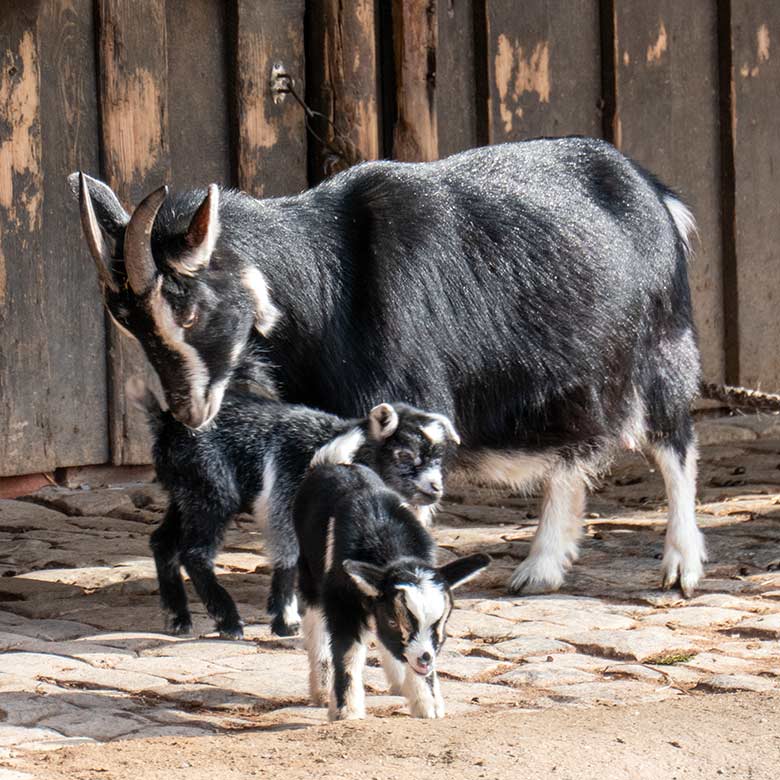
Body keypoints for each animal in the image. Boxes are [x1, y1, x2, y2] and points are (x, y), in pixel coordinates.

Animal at [71, 136, 708, 596]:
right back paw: (541, 569)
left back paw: (681, 567)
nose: (189, 411)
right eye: (127, 322)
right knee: (574, 453)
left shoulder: (409, 404)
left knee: (674, 444)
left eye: (190, 307)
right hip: (571, 378)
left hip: (661, 345)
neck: (324, 278)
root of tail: (654, 192)